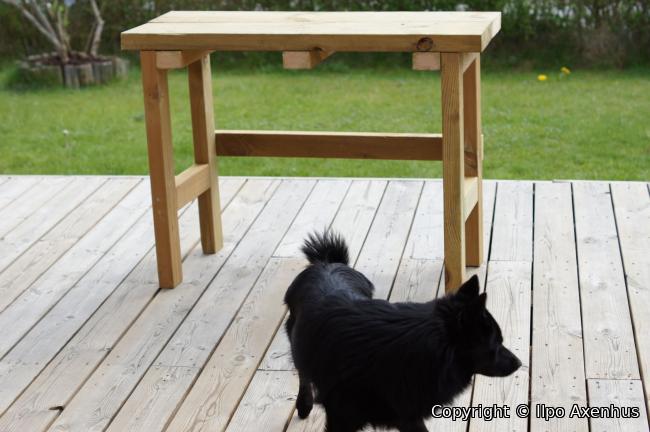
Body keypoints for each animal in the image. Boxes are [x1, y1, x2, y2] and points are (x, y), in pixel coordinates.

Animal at [284, 231, 522, 432]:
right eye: (496, 343)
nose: (519, 363)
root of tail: (326, 262)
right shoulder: (342, 417)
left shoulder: (405, 413)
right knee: (303, 374)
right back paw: (304, 405)